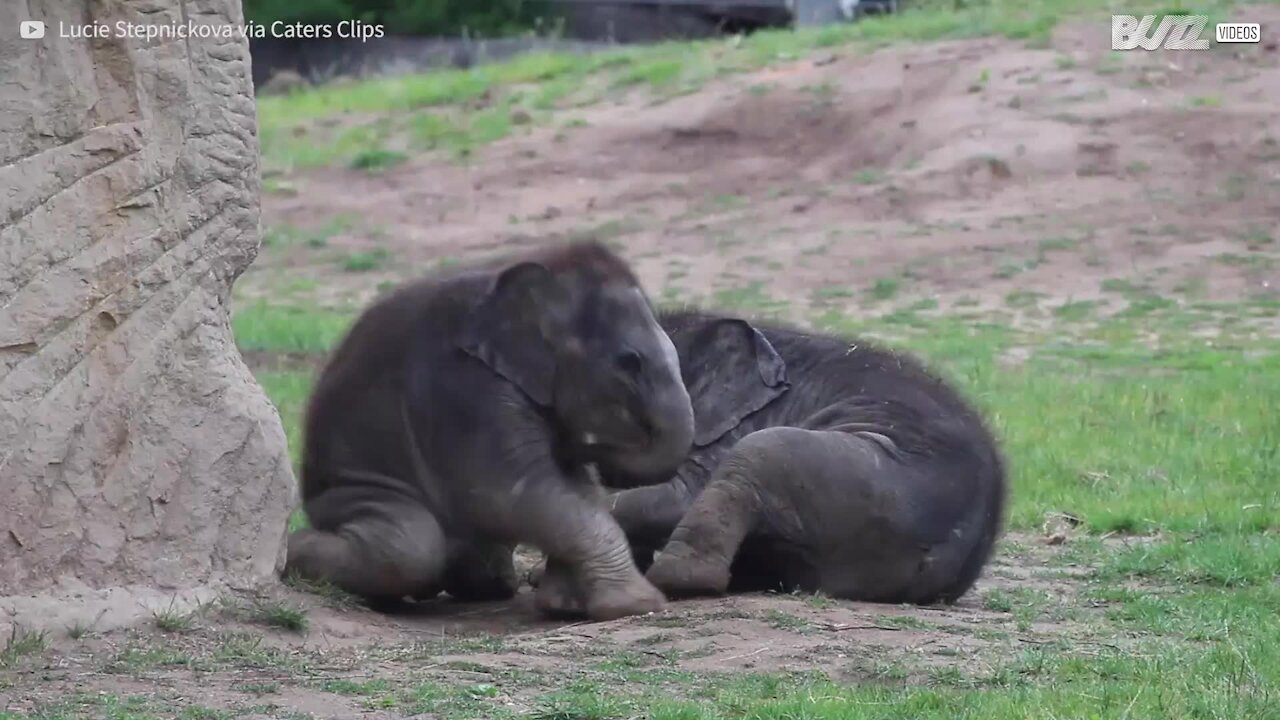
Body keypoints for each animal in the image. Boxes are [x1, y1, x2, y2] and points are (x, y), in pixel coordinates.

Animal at [285, 238, 696, 620]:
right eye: (629, 361)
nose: (596, 444)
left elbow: (573, 489)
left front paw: (564, 605)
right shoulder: (465, 391)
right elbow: (511, 494)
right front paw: (638, 604)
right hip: (348, 491)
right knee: (410, 546)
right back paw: (296, 551)